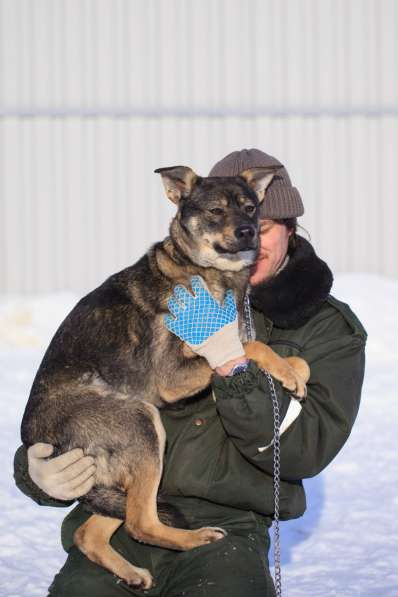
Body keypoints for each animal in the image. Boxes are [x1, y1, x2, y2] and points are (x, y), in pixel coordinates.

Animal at [20, 165, 310, 588]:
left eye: (250, 208)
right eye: (215, 211)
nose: (247, 233)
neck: (204, 271)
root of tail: (34, 436)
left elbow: (273, 350)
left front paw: (294, 373)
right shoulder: (172, 376)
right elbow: (252, 347)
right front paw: (286, 370)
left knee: (92, 531)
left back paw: (132, 571)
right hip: (142, 423)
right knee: (140, 523)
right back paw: (196, 538)